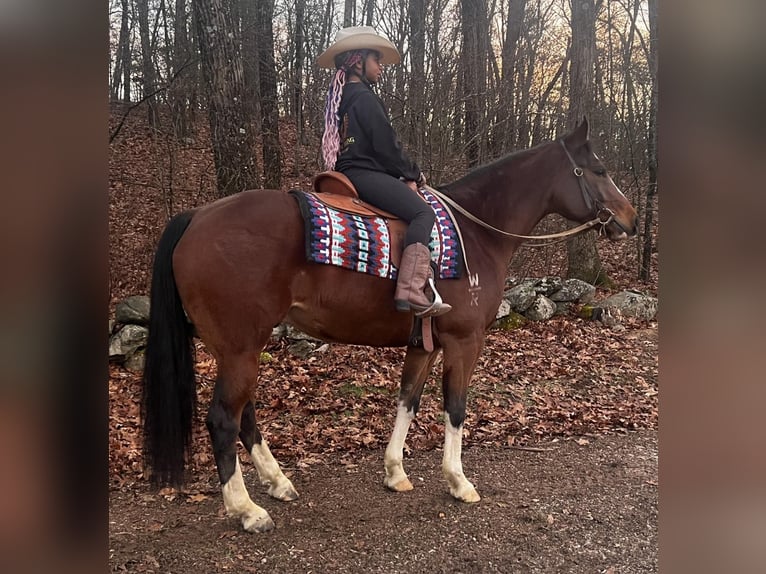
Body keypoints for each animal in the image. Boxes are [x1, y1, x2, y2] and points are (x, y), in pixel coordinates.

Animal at [141, 118, 640, 536]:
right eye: (597, 169)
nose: (631, 220)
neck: (478, 233)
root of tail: (196, 217)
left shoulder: (424, 344)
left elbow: (407, 401)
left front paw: (395, 472)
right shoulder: (464, 342)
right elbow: (455, 408)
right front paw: (458, 481)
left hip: (237, 350)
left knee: (245, 416)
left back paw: (278, 482)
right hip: (242, 349)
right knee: (224, 420)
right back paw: (247, 509)